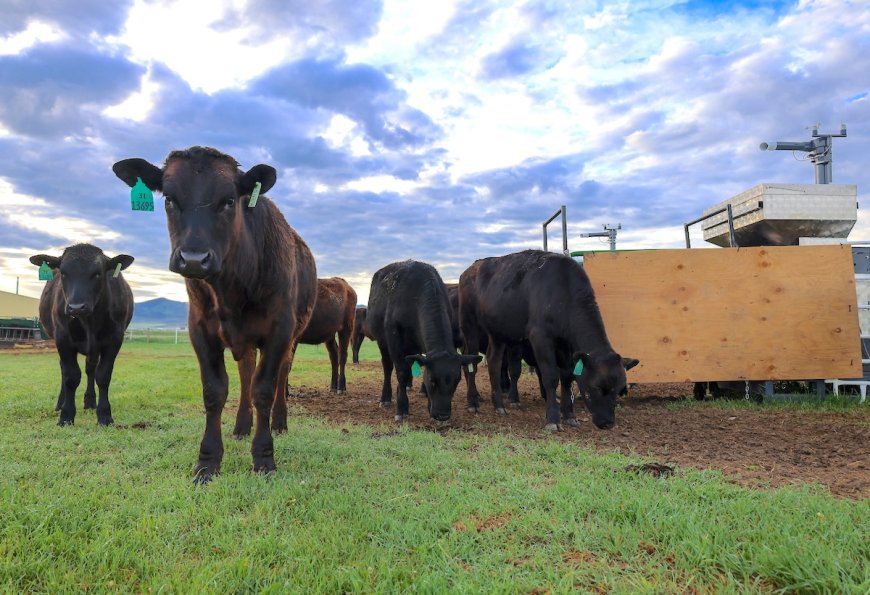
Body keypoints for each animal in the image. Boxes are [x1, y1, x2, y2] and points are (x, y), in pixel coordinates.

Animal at [28, 244, 133, 426]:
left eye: (97, 273)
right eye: (63, 273)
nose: (76, 307)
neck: (89, 322)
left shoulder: (114, 339)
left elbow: (103, 375)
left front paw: (104, 415)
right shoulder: (63, 338)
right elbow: (71, 376)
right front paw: (66, 415)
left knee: (90, 369)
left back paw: (90, 401)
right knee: (64, 370)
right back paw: (60, 403)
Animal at [112, 146, 316, 484]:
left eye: (230, 200)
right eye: (168, 199)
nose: (194, 258)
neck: (232, 289)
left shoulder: (280, 330)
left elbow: (264, 389)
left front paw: (264, 458)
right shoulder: (200, 330)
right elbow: (214, 391)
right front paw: (207, 462)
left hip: (293, 335)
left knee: (279, 375)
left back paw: (279, 422)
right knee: (246, 372)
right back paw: (242, 426)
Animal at [362, 262, 480, 424]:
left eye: (457, 381)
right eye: (432, 380)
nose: (443, 415)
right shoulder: (393, 336)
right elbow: (401, 372)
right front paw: (402, 408)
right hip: (382, 341)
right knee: (388, 367)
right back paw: (386, 398)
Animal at [456, 249, 640, 430]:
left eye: (619, 389)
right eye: (596, 387)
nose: (607, 423)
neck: (563, 291)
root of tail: (471, 269)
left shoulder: (566, 345)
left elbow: (567, 376)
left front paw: (569, 415)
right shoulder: (540, 338)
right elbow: (551, 376)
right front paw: (553, 418)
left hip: (497, 332)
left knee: (493, 362)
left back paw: (499, 405)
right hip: (469, 324)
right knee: (471, 362)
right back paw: (473, 402)